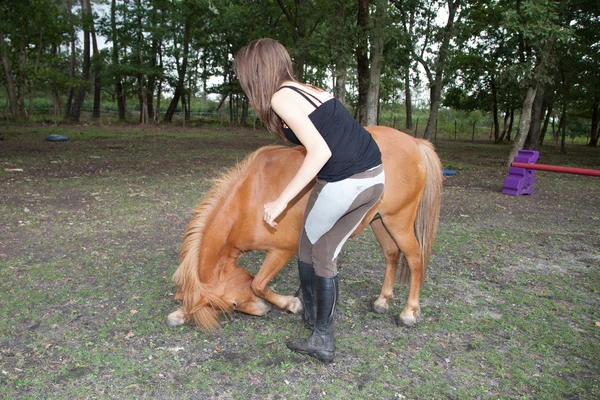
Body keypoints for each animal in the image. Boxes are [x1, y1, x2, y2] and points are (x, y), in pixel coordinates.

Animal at [166, 126, 442, 330]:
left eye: (233, 305)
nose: (262, 311)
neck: (250, 198)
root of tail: (413, 142)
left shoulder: (282, 250)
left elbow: (258, 284)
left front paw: (291, 304)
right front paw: (180, 312)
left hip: (399, 221)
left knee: (415, 259)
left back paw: (409, 312)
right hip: (380, 221)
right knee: (392, 254)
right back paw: (382, 301)